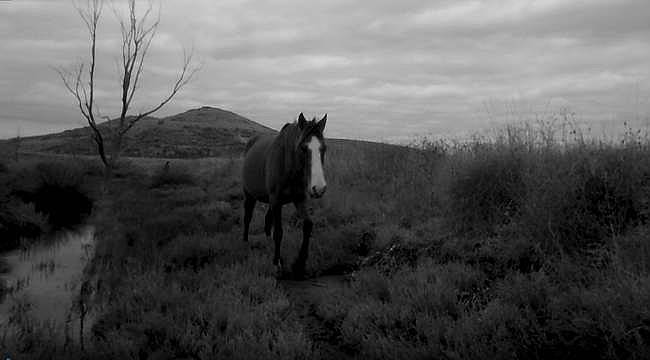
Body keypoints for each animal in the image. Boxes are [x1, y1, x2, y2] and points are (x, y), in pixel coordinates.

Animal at [240, 114, 326, 278]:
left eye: (323, 148)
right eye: (303, 148)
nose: (319, 189)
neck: (288, 166)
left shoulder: (299, 199)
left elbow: (307, 225)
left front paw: (300, 264)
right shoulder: (276, 201)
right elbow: (279, 232)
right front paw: (276, 263)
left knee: (268, 221)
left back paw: (268, 244)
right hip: (250, 196)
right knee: (247, 218)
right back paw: (245, 242)